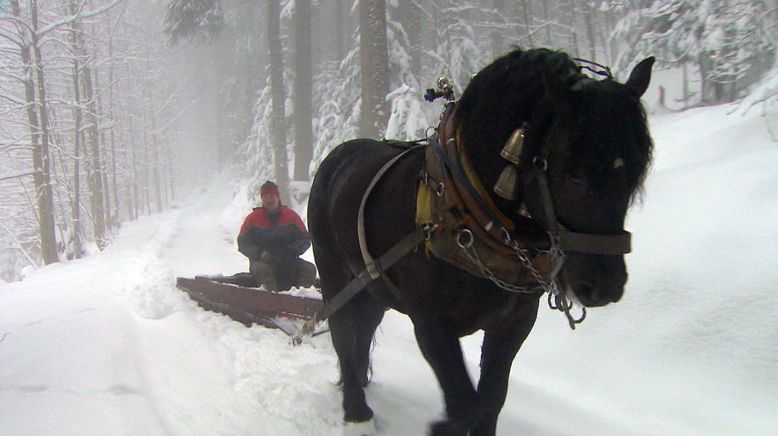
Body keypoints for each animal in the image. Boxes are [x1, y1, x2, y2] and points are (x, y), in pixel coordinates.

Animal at [306, 46, 652, 434]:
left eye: (634, 174)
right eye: (573, 173)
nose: (605, 286)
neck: (471, 211)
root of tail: (336, 157)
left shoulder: (513, 324)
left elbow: (490, 400)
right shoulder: (431, 324)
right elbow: (464, 403)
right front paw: (441, 427)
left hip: (372, 283)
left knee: (364, 326)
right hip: (334, 272)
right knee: (341, 329)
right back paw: (355, 407)